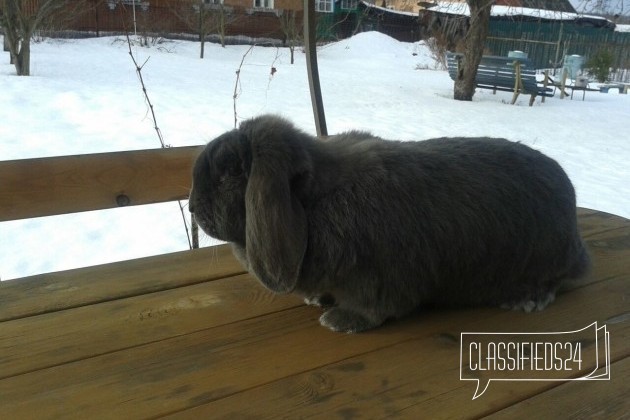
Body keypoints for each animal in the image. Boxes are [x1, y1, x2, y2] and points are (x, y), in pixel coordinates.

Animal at [191, 114, 592, 332]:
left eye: (230, 173)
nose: (193, 207)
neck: (315, 203)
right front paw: (318, 299)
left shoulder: (376, 281)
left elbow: (374, 309)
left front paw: (339, 321)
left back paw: (527, 300)